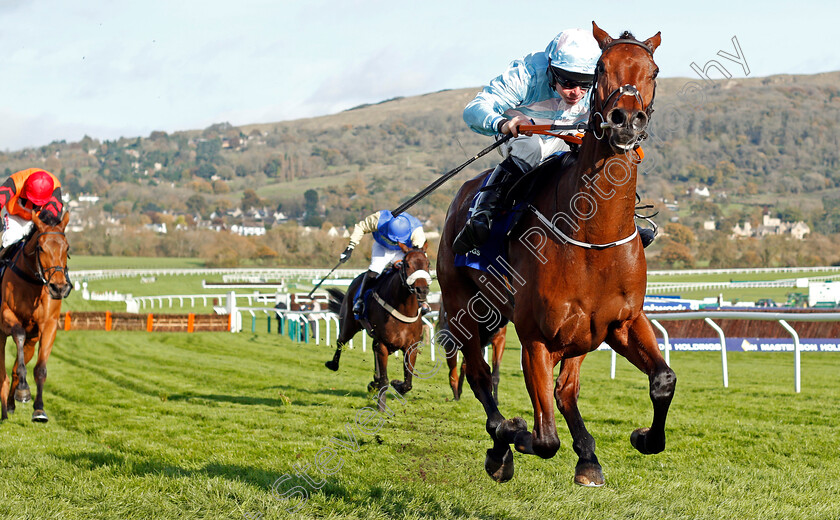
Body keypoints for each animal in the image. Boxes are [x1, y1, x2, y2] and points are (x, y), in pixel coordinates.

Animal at [0, 210, 71, 422]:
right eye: (41, 247)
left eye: (67, 247)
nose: (58, 287)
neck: (32, 282)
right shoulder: (6, 315)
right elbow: (19, 333)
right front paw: (24, 390)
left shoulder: (49, 325)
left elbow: (40, 368)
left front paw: (38, 408)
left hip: (32, 342)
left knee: (14, 370)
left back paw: (10, 404)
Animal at [324, 244, 434, 410]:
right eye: (407, 264)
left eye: (428, 264)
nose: (422, 290)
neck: (403, 308)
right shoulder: (383, 344)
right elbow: (385, 379)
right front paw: (381, 405)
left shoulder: (411, 347)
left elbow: (408, 383)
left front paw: (396, 384)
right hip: (349, 324)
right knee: (341, 341)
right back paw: (333, 364)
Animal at [436, 23, 672, 488]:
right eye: (601, 68)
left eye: (652, 70)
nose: (625, 120)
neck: (592, 238)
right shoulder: (536, 337)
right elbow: (544, 438)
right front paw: (513, 433)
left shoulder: (622, 322)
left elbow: (663, 380)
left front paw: (642, 438)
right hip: (463, 310)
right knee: (479, 377)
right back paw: (501, 446)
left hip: (574, 335)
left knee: (563, 392)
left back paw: (587, 458)